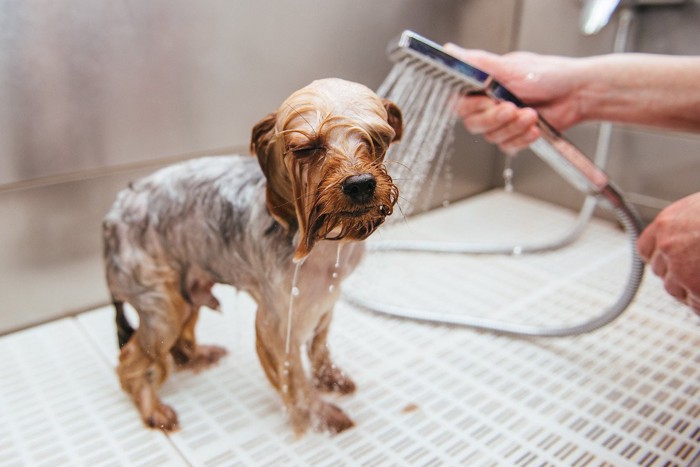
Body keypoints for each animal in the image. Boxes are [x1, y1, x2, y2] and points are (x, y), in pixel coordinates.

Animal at [101, 79, 402, 436]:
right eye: (307, 149)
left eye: (378, 139)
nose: (360, 184)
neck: (320, 239)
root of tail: (112, 216)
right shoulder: (278, 319)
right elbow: (294, 377)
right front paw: (320, 414)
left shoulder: (326, 295)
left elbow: (318, 346)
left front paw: (330, 378)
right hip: (161, 303)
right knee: (130, 359)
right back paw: (154, 410)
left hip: (185, 289)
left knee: (177, 342)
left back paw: (199, 356)